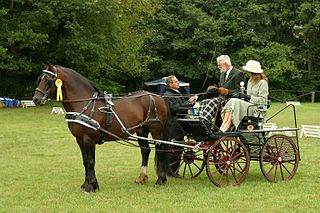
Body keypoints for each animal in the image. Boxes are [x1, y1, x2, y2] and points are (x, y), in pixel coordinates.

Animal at [32, 64, 170, 192]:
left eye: (48, 80)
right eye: (40, 79)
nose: (35, 99)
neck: (85, 104)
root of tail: (157, 97)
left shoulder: (89, 139)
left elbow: (90, 162)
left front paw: (91, 186)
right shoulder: (80, 140)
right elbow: (85, 162)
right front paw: (86, 184)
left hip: (156, 130)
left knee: (160, 150)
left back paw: (161, 179)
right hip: (142, 130)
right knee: (145, 151)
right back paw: (141, 178)